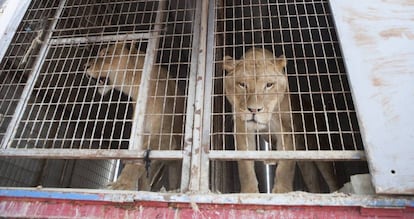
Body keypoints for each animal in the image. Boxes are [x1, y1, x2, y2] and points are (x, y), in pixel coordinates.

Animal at [83, 42, 181, 190]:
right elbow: (143, 173)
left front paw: (121, 184)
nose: (85, 66)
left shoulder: (165, 135)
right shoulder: (143, 134)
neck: (136, 86)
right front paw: (141, 189)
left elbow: (138, 161)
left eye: (105, 53)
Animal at [222, 47, 338, 192]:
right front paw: (249, 192)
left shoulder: (287, 129)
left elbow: (285, 165)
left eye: (269, 85)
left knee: (331, 178)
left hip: (319, 148)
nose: (254, 110)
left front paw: (282, 191)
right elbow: (245, 165)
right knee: (313, 182)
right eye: (242, 84)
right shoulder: (242, 127)